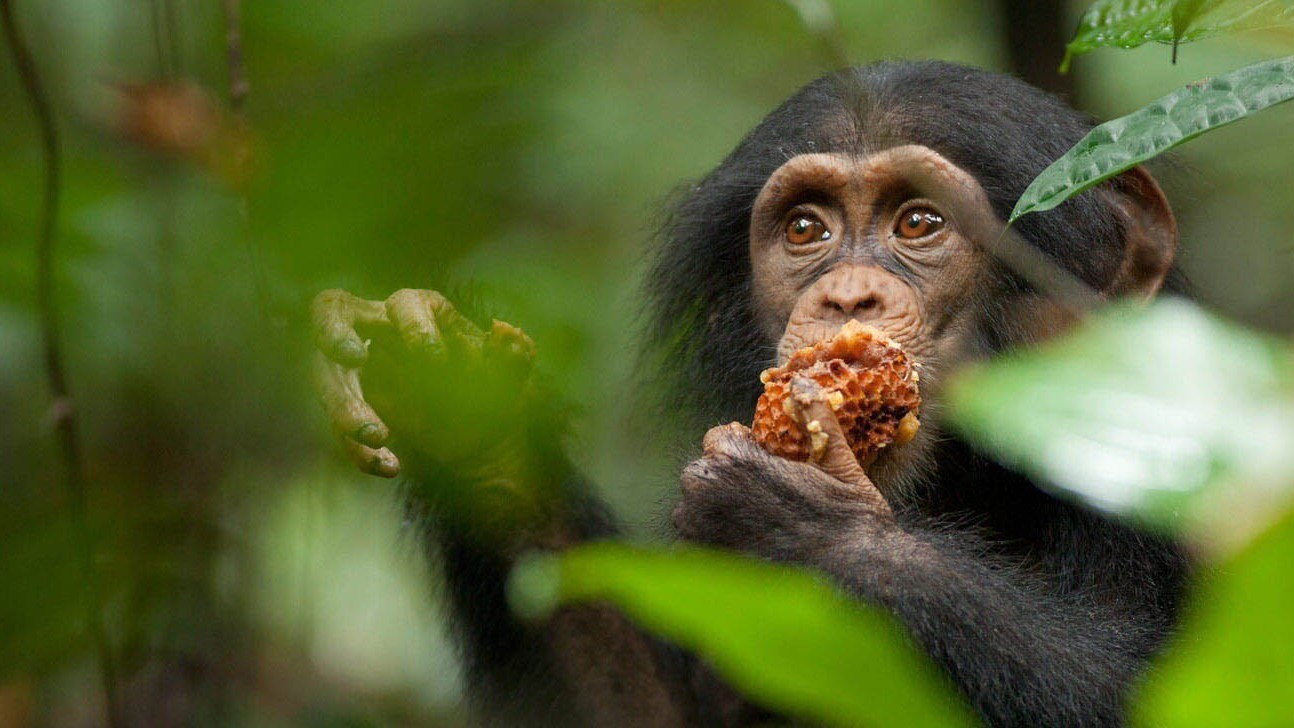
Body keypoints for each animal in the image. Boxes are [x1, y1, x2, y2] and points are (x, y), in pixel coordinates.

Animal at [310, 59, 1190, 724]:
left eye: (919, 223)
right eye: (806, 230)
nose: (846, 297)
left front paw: (807, 524)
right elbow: (637, 710)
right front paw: (460, 403)